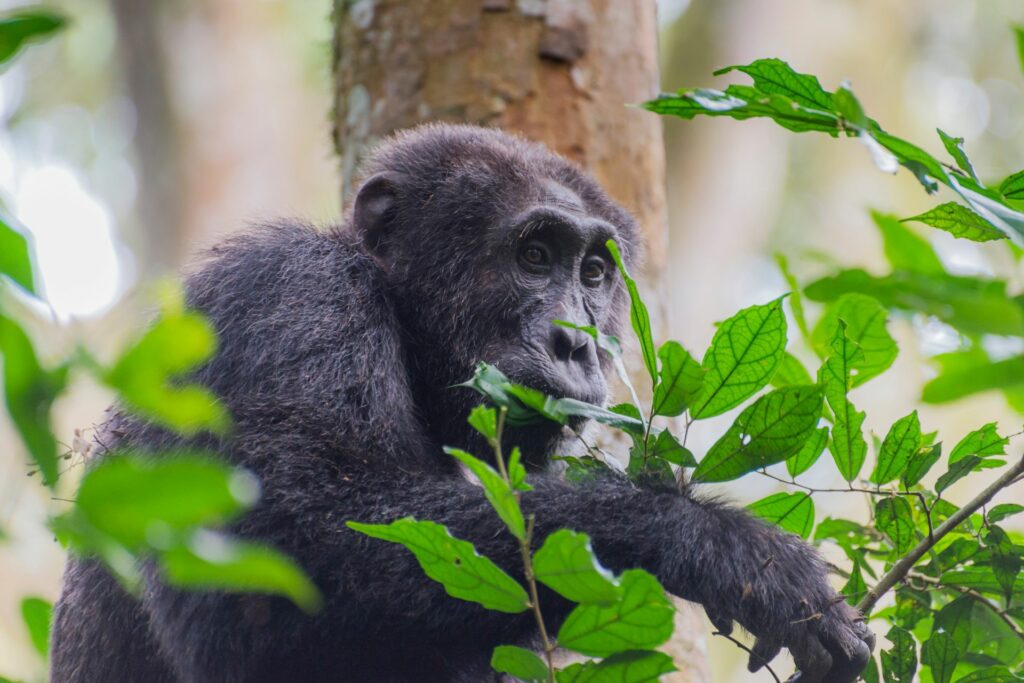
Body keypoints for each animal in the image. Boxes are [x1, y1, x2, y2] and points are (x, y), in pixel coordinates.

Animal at [51, 124, 873, 682]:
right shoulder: (284, 300)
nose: (575, 341)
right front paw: (731, 547)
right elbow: (279, 559)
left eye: (595, 272)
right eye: (535, 255)